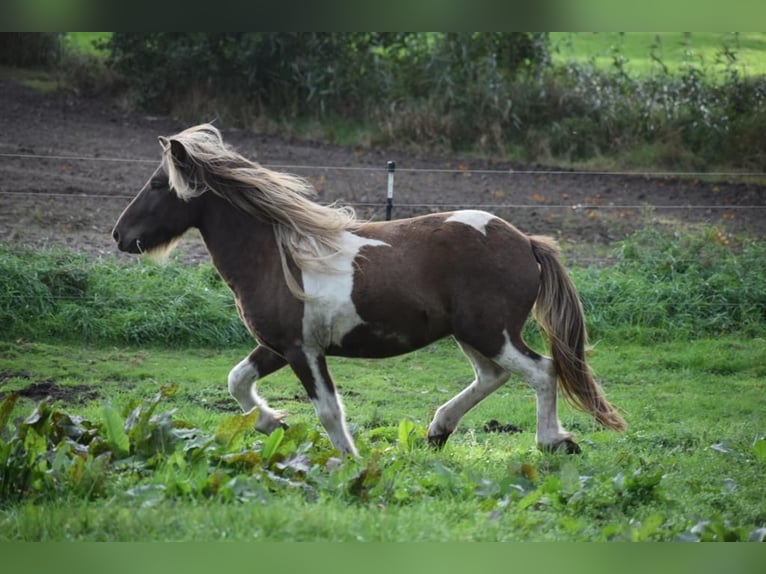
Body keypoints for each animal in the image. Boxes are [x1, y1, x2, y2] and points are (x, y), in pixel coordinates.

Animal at [112, 123, 626, 457]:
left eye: (157, 184)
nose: (119, 236)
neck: (277, 257)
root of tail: (527, 242)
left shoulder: (302, 350)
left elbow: (327, 410)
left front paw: (348, 460)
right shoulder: (279, 345)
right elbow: (237, 379)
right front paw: (272, 421)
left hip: (491, 332)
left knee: (540, 371)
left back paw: (555, 442)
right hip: (472, 334)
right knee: (492, 376)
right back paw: (437, 432)